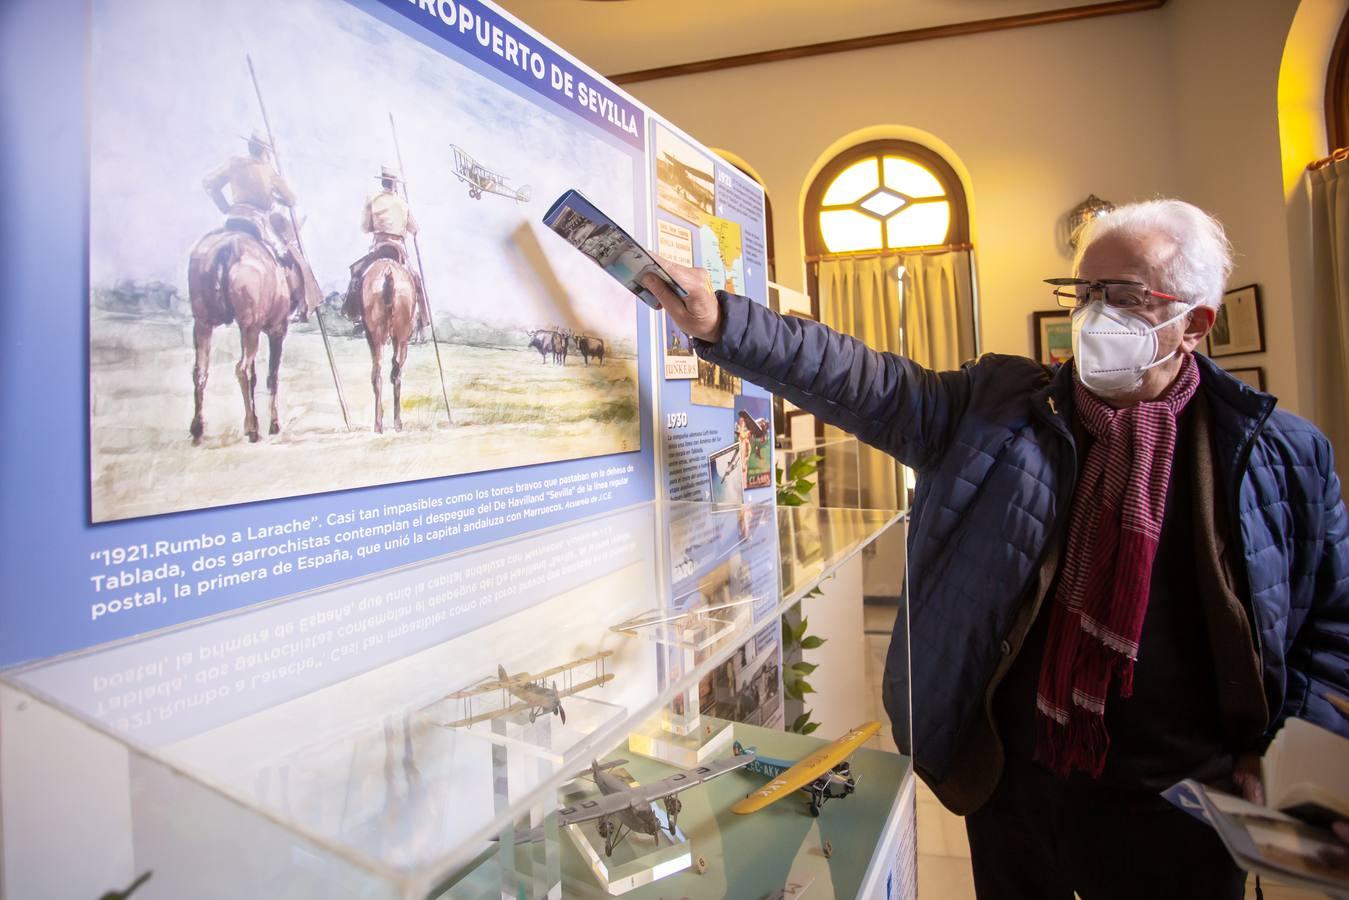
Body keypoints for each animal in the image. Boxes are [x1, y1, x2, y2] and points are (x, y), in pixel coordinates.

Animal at [186, 229, 319, 447]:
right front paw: (273, 425)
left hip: (203, 322)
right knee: (242, 369)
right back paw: (253, 430)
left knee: (201, 371)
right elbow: (272, 376)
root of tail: (227, 247)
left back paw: (198, 429)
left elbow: (256, 377)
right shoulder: (277, 330)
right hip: (250, 327)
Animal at [358, 259, 415, 434]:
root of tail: (389, 272)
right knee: (394, 372)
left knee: (380, 372)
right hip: (399, 336)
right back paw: (394, 423)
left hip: (378, 337)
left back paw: (379, 424)